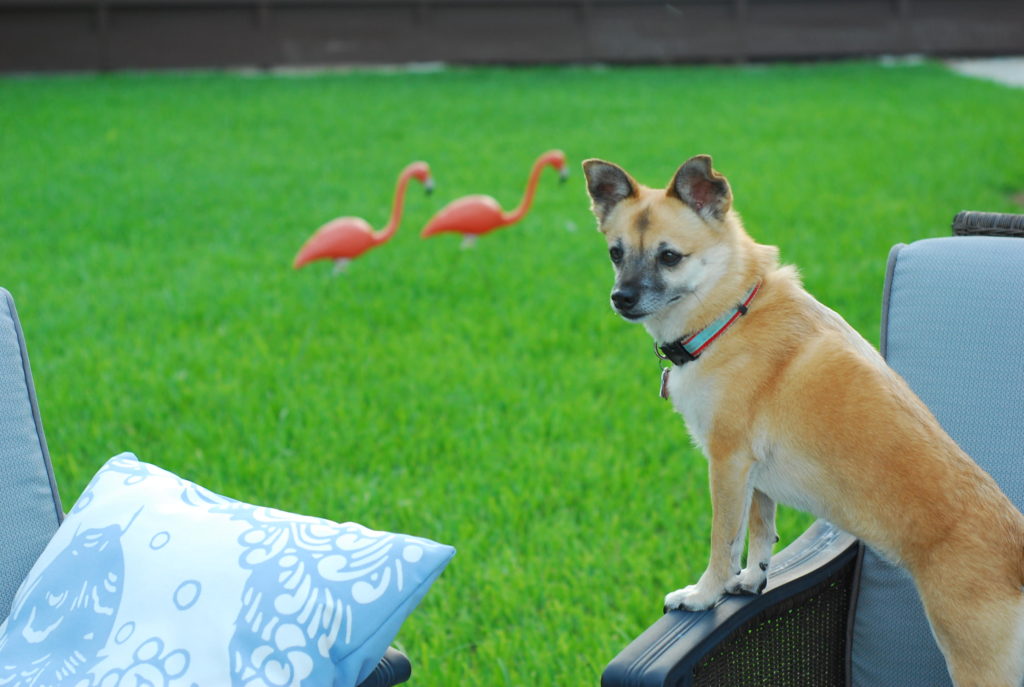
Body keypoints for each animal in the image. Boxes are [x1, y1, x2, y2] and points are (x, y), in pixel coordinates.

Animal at [585, 155, 1024, 687]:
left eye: (669, 257)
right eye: (615, 253)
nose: (620, 298)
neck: (731, 313)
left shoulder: (727, 463)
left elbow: (723, 541)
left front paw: (705, 595)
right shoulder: (753, 476)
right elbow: (760, 530)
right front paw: (752, 581)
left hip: (979, 664)